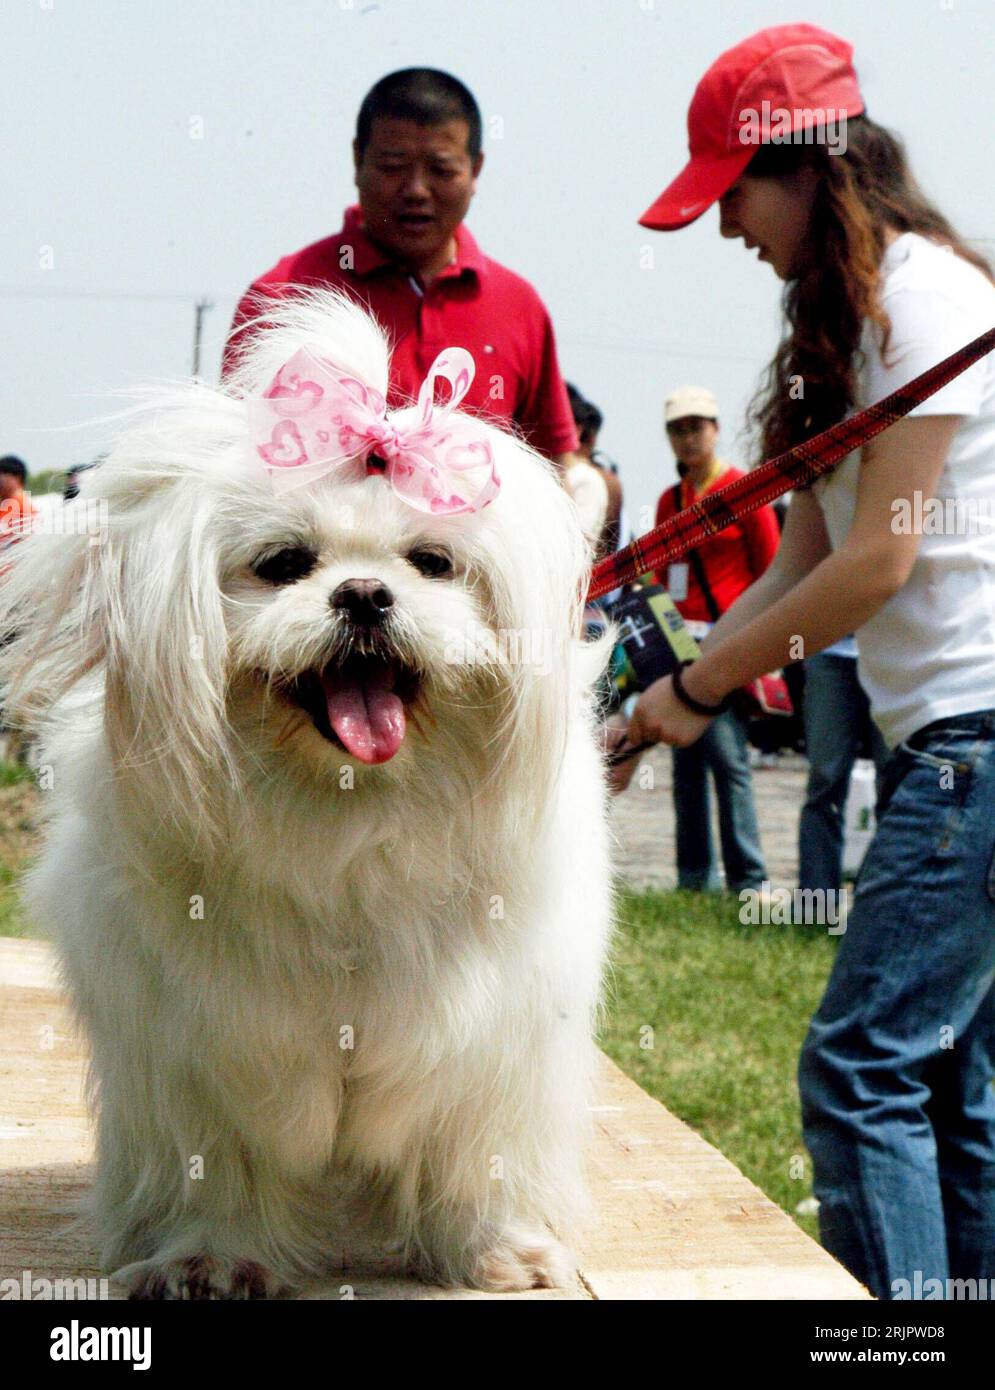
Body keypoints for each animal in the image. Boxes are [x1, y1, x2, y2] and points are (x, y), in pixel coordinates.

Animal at [3, 296, 614, 1301]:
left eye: (431, 563)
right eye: (283, 563)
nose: (364, 595)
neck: (349, 807)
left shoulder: (490, 1030)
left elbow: (476, 1146)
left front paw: (498, 1249)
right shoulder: (209, 1043)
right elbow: (219, 1157)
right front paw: (209, 1257)